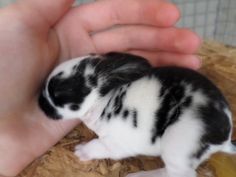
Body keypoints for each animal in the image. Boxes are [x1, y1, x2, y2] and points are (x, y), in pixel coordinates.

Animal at [37, 51, 235, 177]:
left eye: (58, 95)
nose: (39, 103)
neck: (104, 101)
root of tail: (223, 139)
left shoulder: (114, 145)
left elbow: (97, 147)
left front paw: (81, 152)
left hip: (177, 150)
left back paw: (138, 176)